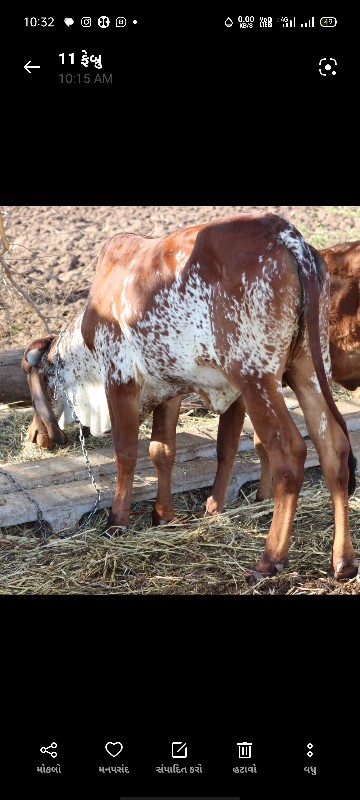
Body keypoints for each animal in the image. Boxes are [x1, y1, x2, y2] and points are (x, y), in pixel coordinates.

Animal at [22, 212, 358, 576]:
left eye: (28, 375)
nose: (34, 434)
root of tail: (286, 234)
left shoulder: (119, 380)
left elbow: (126, 454)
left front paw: (117, 520)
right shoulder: (168, 388)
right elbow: (162, 452)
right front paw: (162, 515)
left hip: (256, 379)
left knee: (290, 453)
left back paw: (270, 558)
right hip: (307, 370)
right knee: (334, 450)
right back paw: (343, 560)